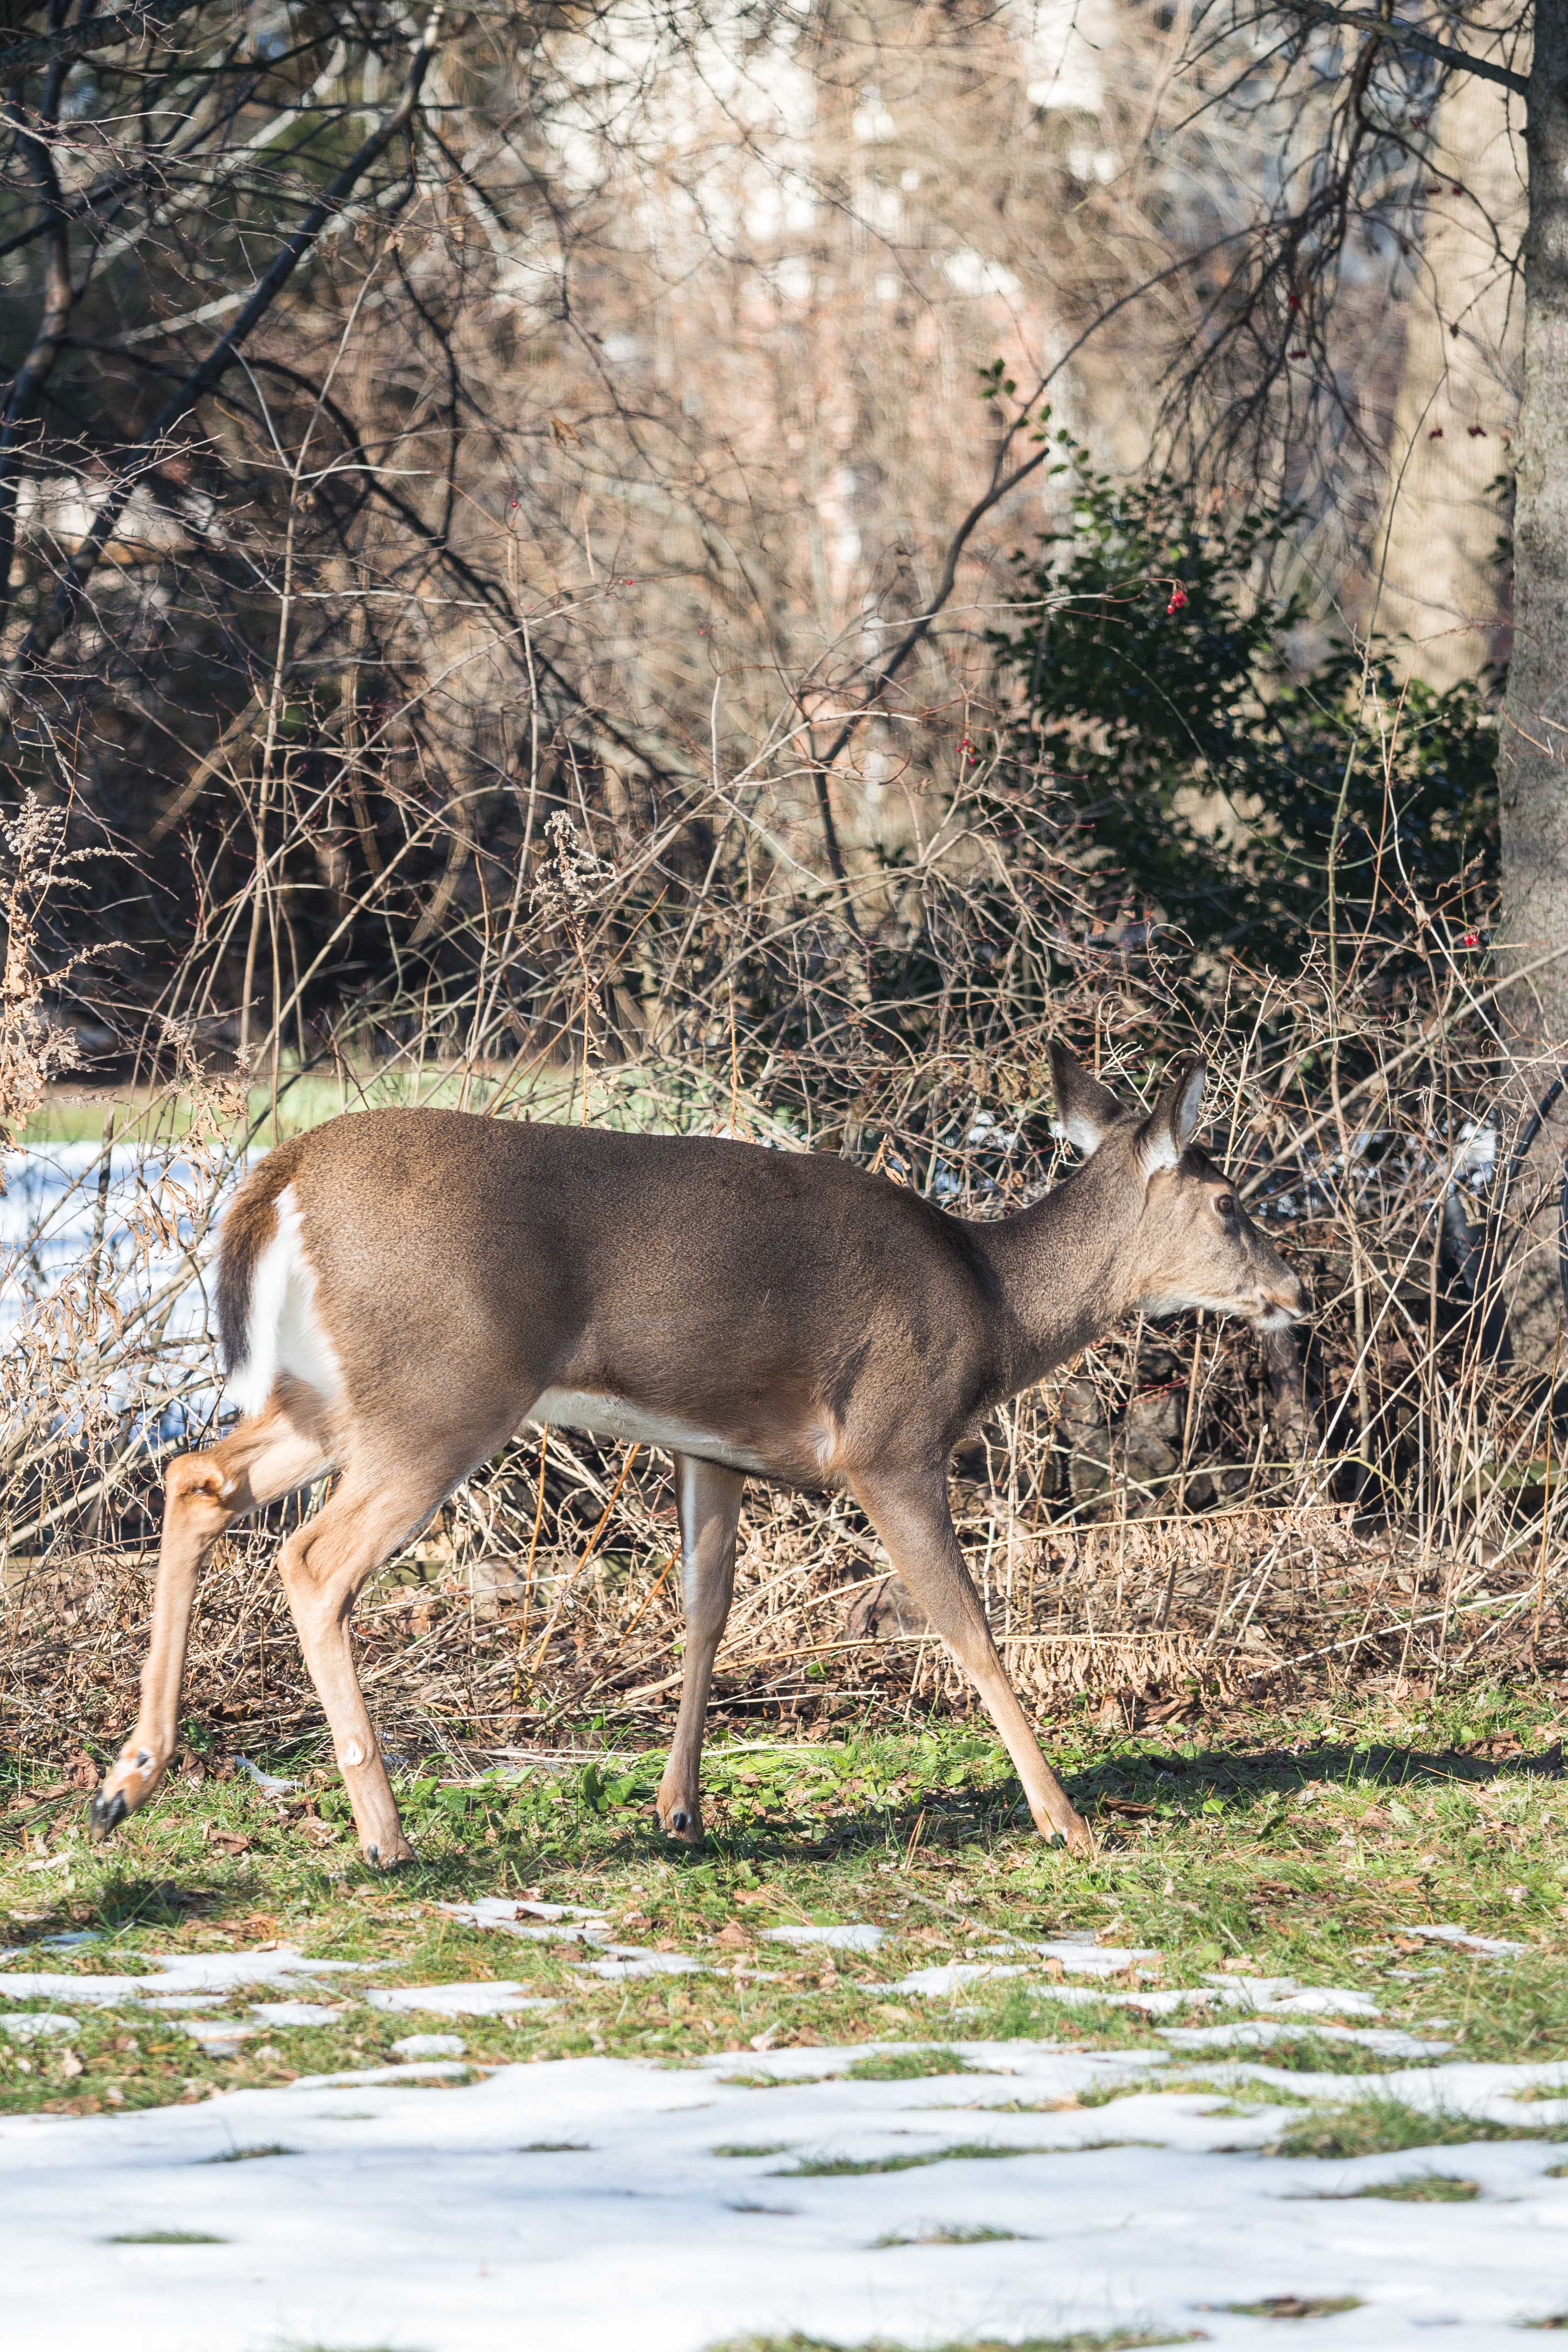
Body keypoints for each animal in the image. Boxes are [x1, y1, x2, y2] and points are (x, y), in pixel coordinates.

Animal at [88, 1058, 1316, 1862]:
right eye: (1229, 1200)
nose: (1295, 1290)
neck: (993, 1303)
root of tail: (282, 1176)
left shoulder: (712, 1442)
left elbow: (706, 1605)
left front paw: (678, 1808)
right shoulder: (891, 1439)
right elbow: (966, 1624)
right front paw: (1064, 1817)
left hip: (328, 1394)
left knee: (196, 1477)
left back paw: (128, 1778)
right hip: (440, 1388)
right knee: (311, 1556)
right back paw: (382, 1833)